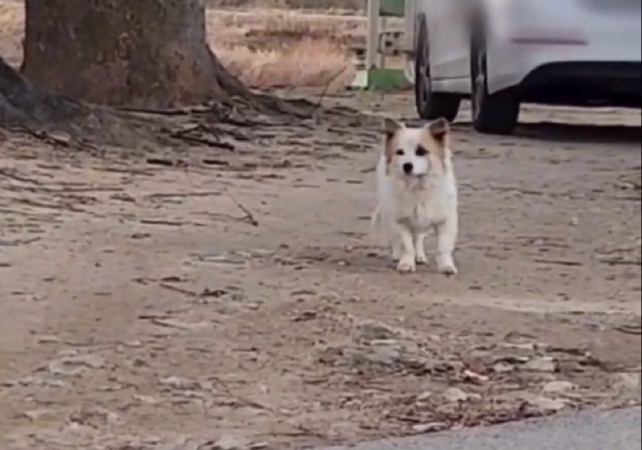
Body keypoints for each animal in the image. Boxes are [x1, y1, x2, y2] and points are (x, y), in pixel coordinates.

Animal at [368, 116, 458, 274]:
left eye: (421, 151)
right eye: (400, 152)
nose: (407, 166)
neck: (417, 187)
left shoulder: (446, 221)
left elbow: (443, 247)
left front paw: (446, 266)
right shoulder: (400, 221)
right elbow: (406, 245)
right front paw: (406, 263)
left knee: (418, 237)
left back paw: (420, 256)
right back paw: (397, 255)